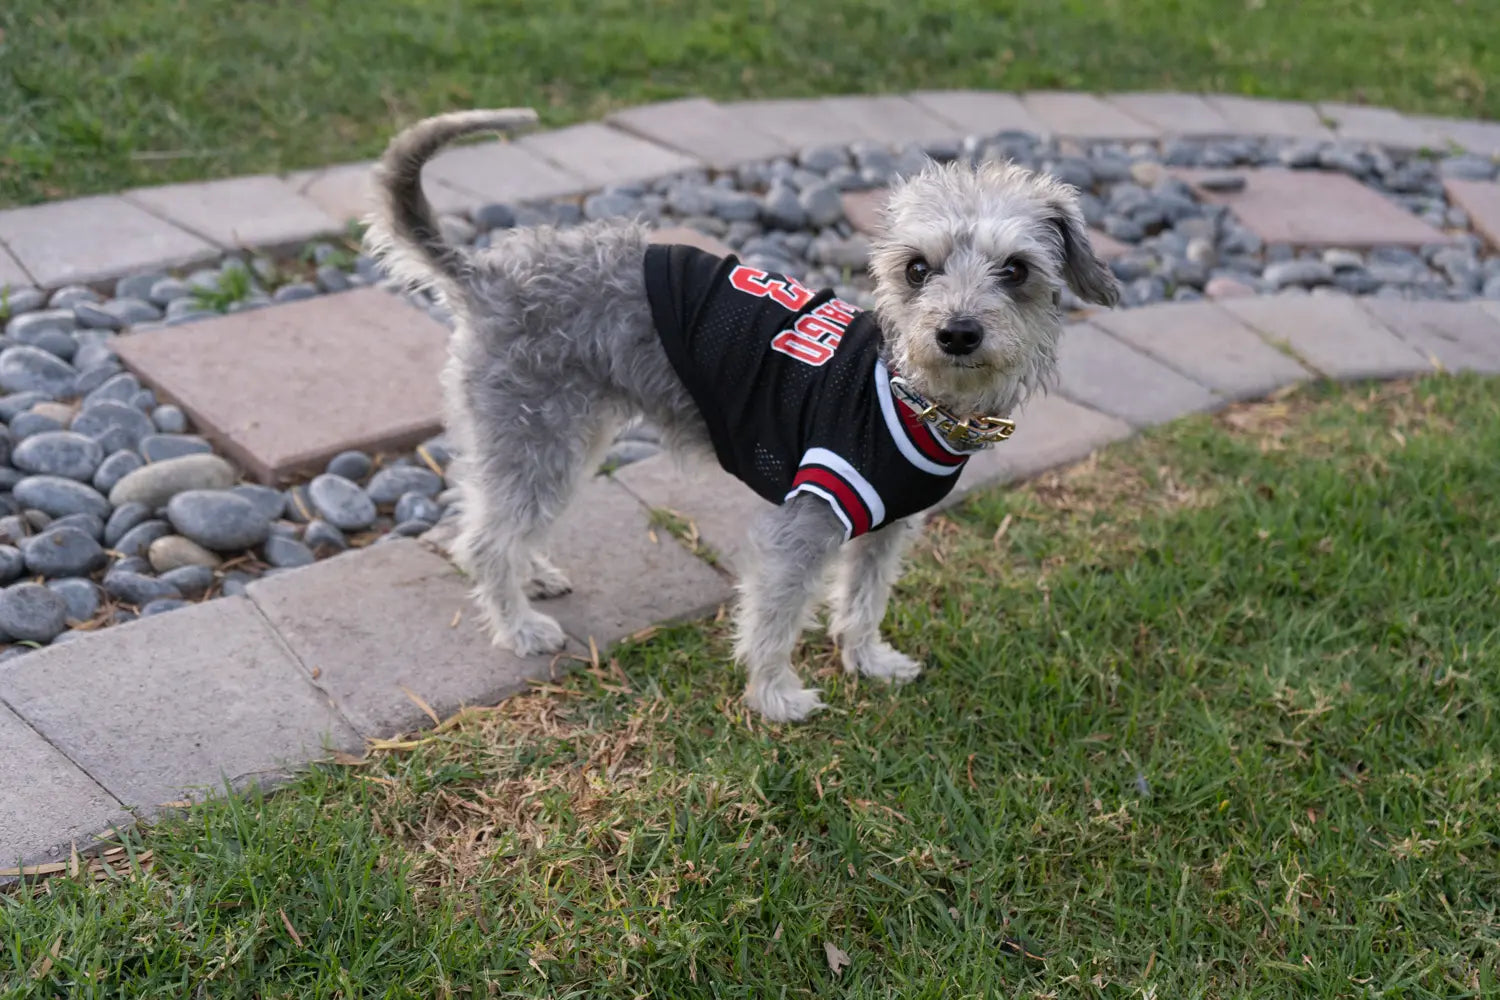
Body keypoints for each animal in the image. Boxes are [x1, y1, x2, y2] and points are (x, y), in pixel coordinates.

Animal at [369, 107, 1122, 719]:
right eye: (917, 269)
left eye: (1016, 270)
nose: (957, 332)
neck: (913, 399)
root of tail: (487, 276)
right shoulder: (810, 517)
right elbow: (774, 616)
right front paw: (775, 695)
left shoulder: (886, 527)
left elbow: (863, 601)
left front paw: (868, 661)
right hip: (539, 438)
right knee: (482, 538)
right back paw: (519, 626)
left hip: (559, 438)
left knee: (497, 517)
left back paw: (535, 575)